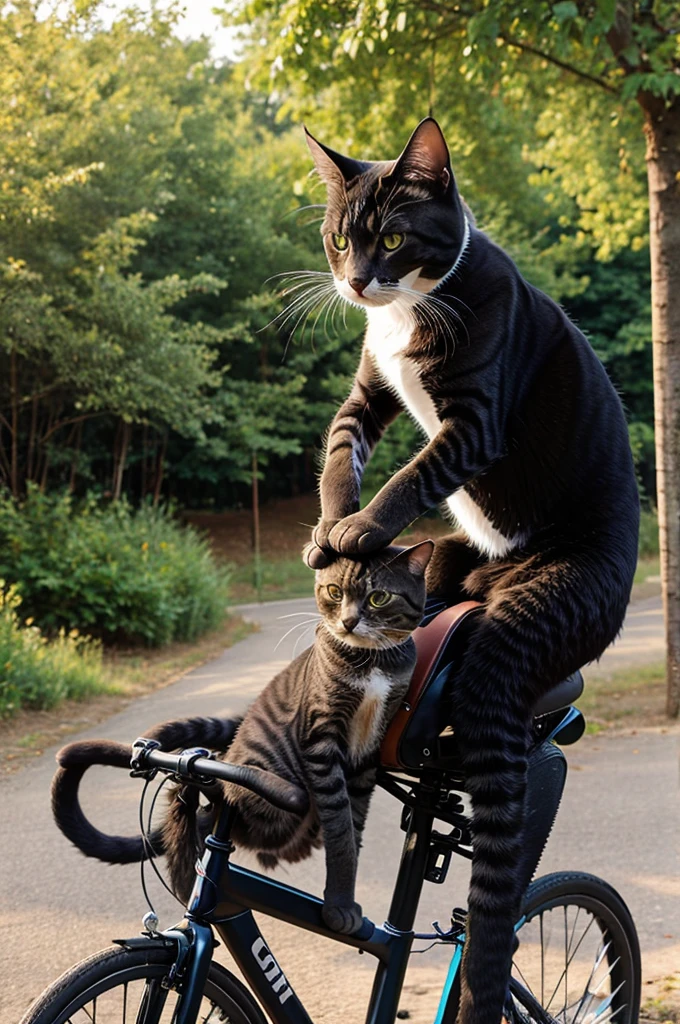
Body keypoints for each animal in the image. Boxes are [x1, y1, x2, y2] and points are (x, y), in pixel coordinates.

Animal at [55, 544, 432, 937]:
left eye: (378, 597)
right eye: (334, 592)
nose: (347, 622)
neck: (371, 662)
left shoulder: (368, 752)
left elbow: (353, 825)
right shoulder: (320, 738)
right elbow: (340, 828)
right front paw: (339, 906)